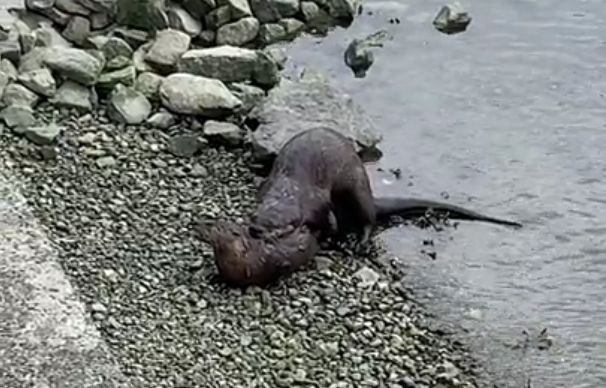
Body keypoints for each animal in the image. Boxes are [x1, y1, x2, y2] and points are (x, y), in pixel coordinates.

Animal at [196, 127, 524, 288]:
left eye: (281, 228)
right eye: (254, 219)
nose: (254, 231)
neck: (290, 189)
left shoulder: (318, 205)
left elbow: (328, 225)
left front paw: (328, 238)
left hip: (357, 188)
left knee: (368, 217)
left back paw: (359, 242)